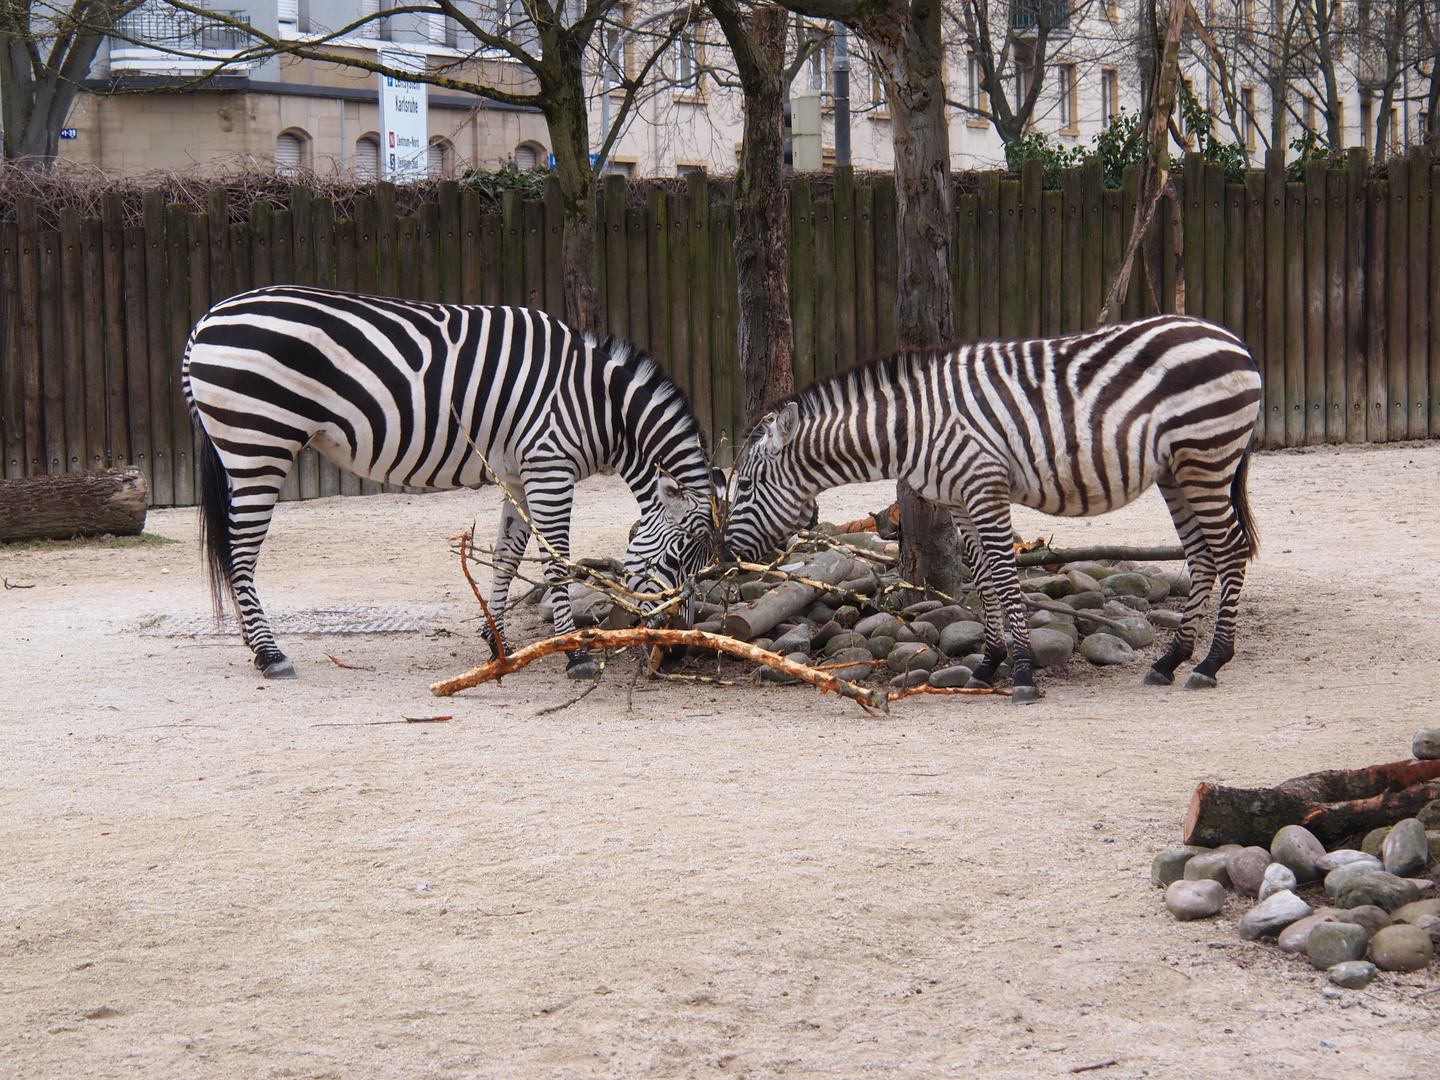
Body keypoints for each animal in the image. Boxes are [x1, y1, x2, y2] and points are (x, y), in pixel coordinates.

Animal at [182, 283, 717, 679]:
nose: (680, 648)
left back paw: (256, 646)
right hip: (259, 445)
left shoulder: (518, 475)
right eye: (676, 560)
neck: (601, 407)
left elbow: (506, 558)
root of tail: (206, 320)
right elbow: (556, 561)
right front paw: (576, 653)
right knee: (241, 555)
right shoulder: (549, 467)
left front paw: (497, 642)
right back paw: (269, 655)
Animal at [720, 315, 1261, 702]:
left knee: (1231, 550)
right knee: (1203, 555)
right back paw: (1171, 661)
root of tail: (1231, 338)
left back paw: (1211, 663)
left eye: (744, 484)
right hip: (1177, 471)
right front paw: (985, 666)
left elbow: (1002, 573)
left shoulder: (985, 486)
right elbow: (981, 577)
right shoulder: (958, 501)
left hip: (1207, 456)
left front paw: (1022, 673)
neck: (912, 428)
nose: (724, 555)